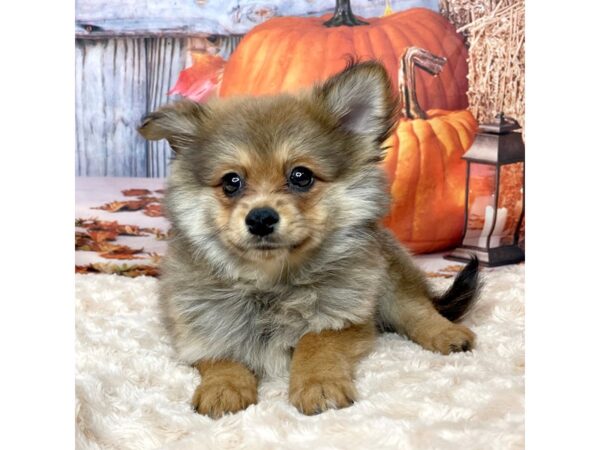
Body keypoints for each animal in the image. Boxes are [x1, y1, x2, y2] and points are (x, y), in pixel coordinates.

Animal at [138, 60, 480, 418]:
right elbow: (220, 354)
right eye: (231, 181)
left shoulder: (344, 318)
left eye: (300, 176)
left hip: (390, 279)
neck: (271, 284)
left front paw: (319, 385)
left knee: (417, 308)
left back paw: (446, 334)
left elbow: (314, 342)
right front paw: (224, 387)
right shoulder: (196, 323)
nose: (260, 218)